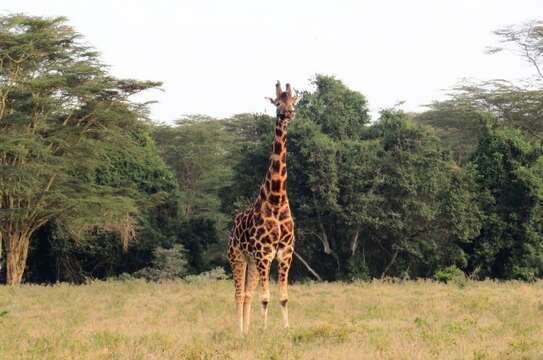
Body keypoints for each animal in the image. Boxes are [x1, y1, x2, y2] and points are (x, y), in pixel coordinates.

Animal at [228, 81, 300, 334]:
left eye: (292, 101)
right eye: (277, 102)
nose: (288, 112)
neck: (276, 199)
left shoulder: (285, 251)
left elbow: (283, 297)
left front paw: (286, 330)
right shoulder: (264, 252)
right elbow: (266, 297)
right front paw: (265, 331)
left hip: (251, 262)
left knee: (248, 294)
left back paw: (246, 330)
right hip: (237, 256)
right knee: (239, 294)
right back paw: (239, 332)